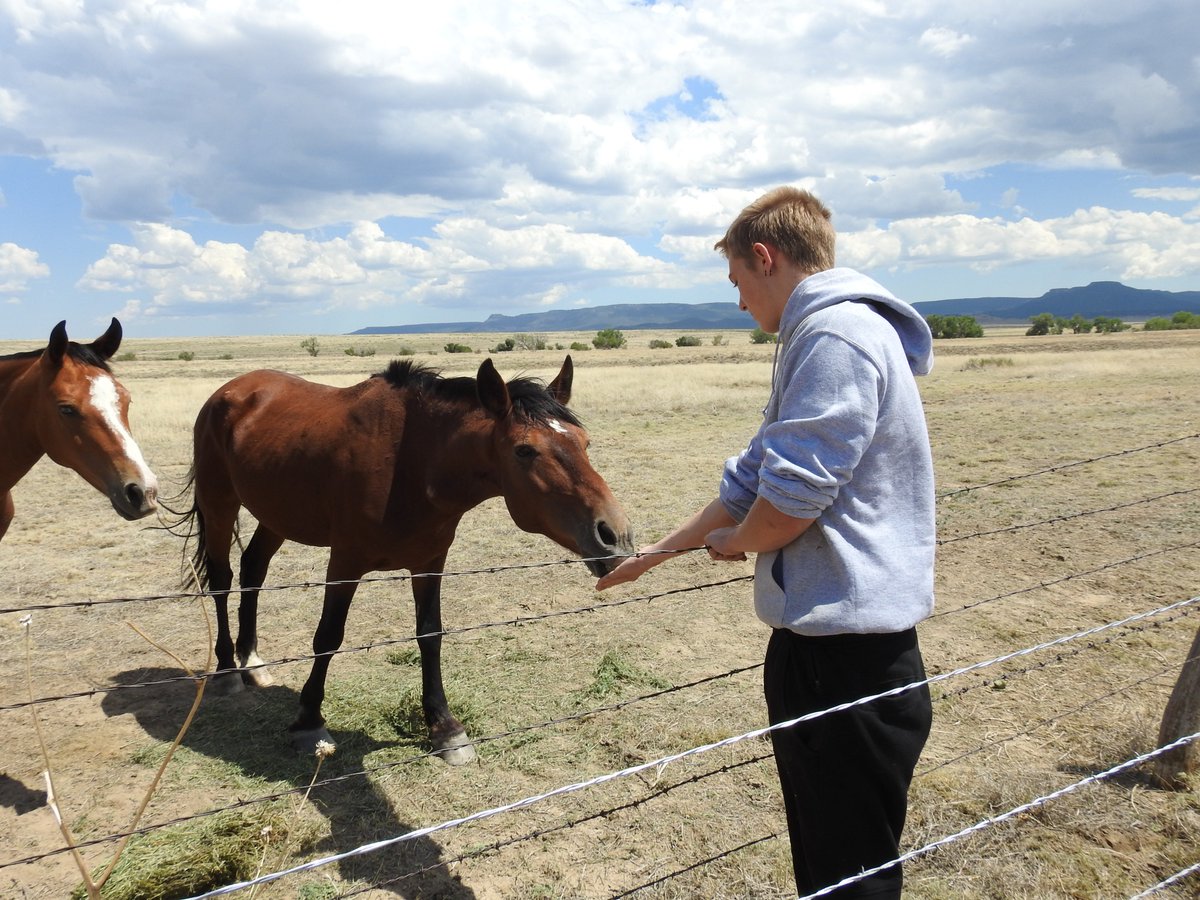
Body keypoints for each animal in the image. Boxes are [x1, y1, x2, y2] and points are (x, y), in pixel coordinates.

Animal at [182, 355, 633, 763]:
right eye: (525, 450)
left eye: (585, 442)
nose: (616, 536)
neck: (412, 463)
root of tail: (231, 390)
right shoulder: (346, 560)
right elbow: (328, 637)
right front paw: (309, 722)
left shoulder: (430, 560)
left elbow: (430, 635)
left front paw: (445, 727)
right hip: (219, 503)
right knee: (222, 578)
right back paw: (227, 670)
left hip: (275, 513)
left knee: (253, 569)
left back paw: (252, 661)